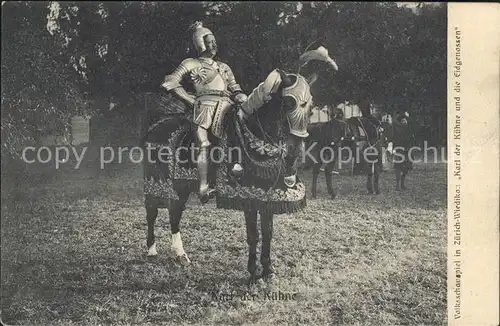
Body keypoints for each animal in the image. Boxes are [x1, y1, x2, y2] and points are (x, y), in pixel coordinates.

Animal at [141, 68, 314, 286]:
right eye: (290, 103)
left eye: (311, 108)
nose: (294, 153)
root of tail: (154, 127)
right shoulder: (248, 198)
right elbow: (253, 235)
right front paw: (253, 274)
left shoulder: (266, 199)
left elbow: (268, 234)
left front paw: (268, 271)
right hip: (156, 183)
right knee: (152, 213)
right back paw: (151, 250)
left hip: (181, 187)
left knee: (174, 215)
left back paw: (181, 255)